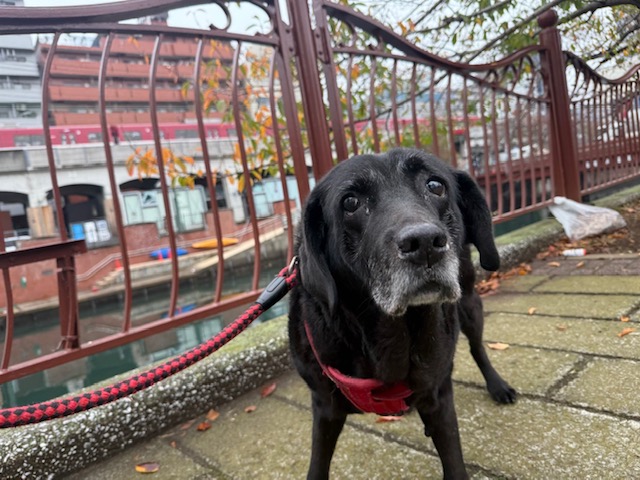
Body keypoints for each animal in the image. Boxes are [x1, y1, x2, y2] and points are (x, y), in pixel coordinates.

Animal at [288, 148, 516, 478]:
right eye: (350, 203)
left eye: (435, 186)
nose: (425, 243)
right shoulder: (325, 407)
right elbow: (318, 464)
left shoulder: (438, 398)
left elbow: (453, 460)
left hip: (471, 304)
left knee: (477, 347)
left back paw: (497, 386)